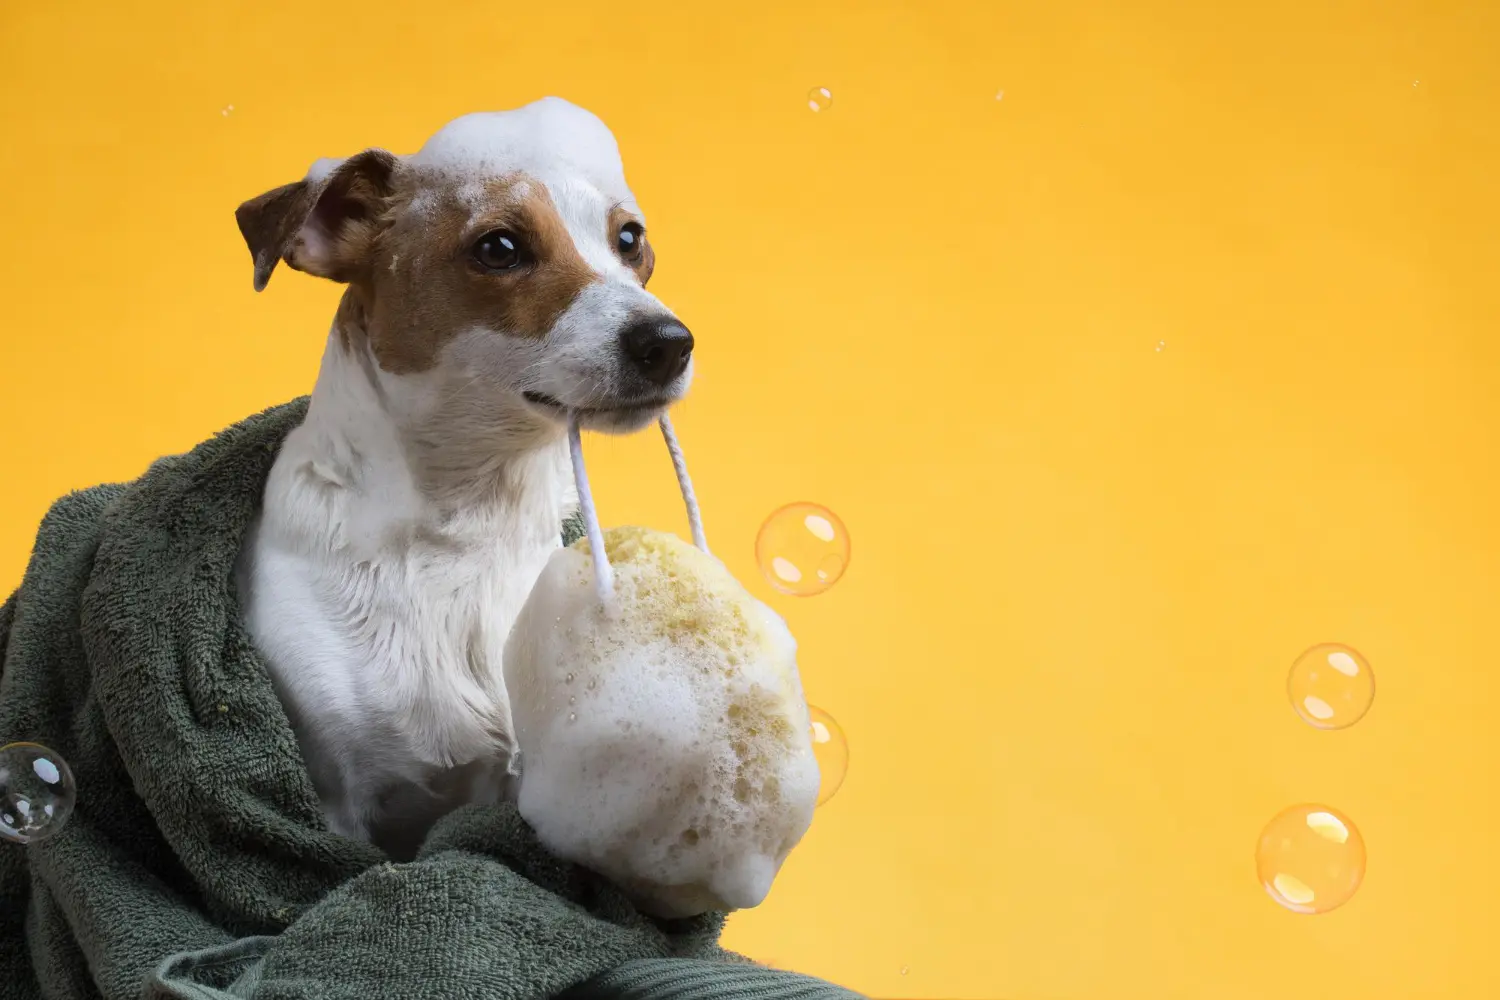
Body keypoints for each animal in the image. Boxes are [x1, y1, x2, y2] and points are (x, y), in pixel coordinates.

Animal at [229, 95, 690, 863]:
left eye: (629, 239)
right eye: (499, 248)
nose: (670, 342)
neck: (465, 525)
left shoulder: (519, 782)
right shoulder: (333, 808)